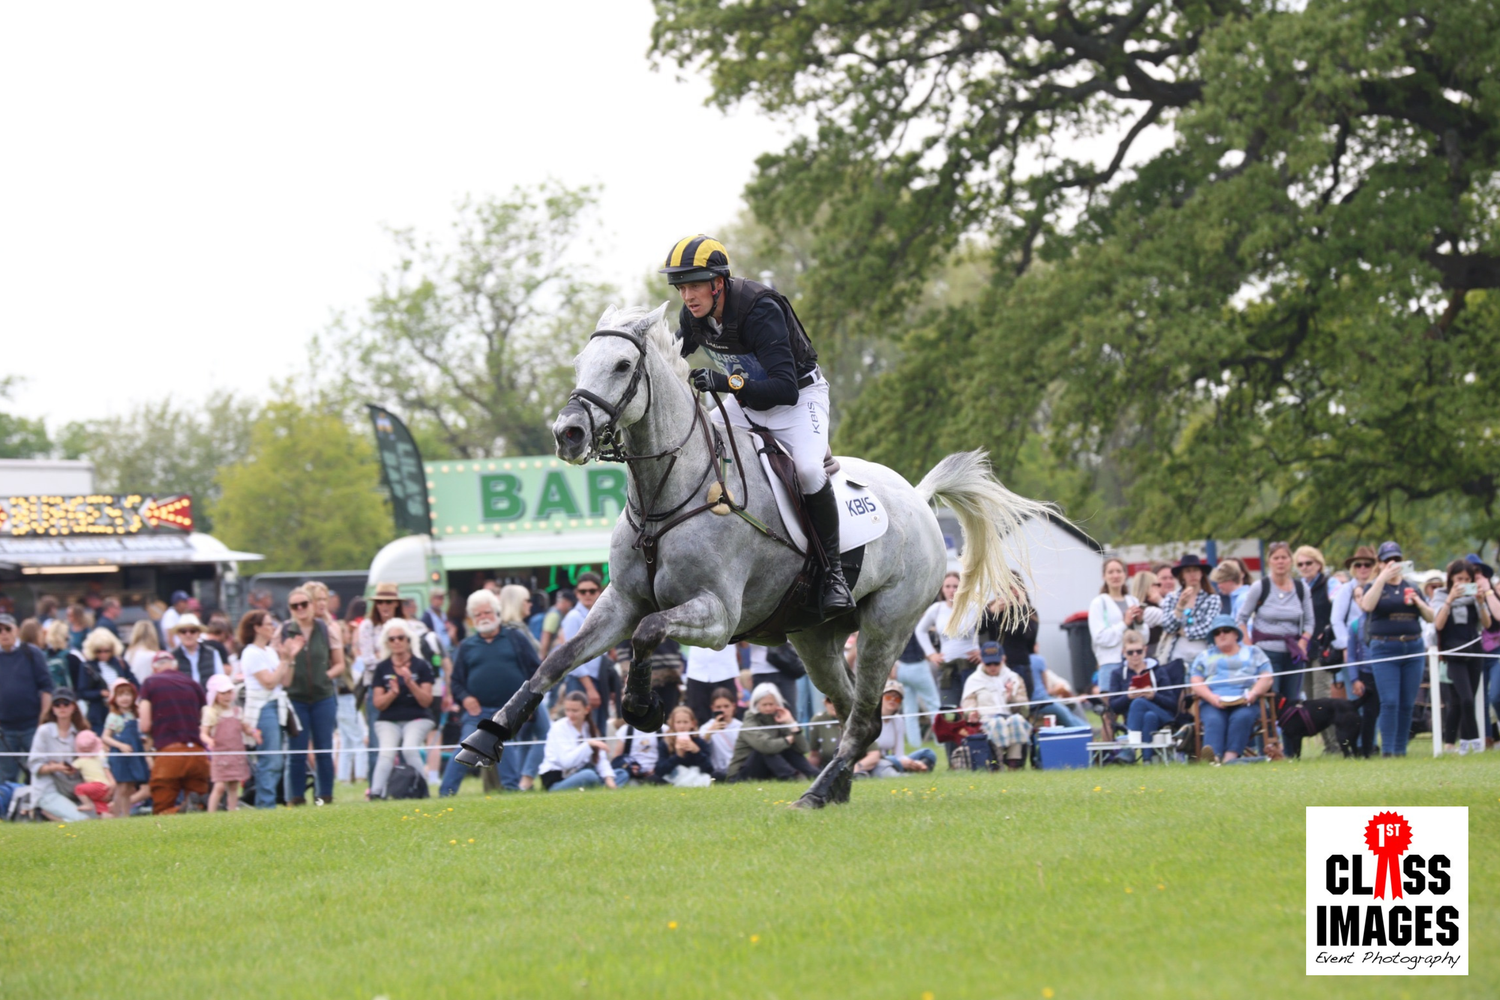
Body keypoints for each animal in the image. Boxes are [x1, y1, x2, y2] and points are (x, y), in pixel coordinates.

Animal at [453, 303, 1055, 808]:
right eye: (581, 363)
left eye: (623, 366)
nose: (569, 434)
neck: (667, 494)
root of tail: (919, 498)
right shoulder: (620, 601)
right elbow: (557, 659)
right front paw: (486, 735)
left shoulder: (717, 615)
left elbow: (648, 632)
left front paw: (642, 708)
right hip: (814, 637)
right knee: (854, 712)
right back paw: (835, 786)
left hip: (887, 623)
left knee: (864, 711)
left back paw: (817, 792)